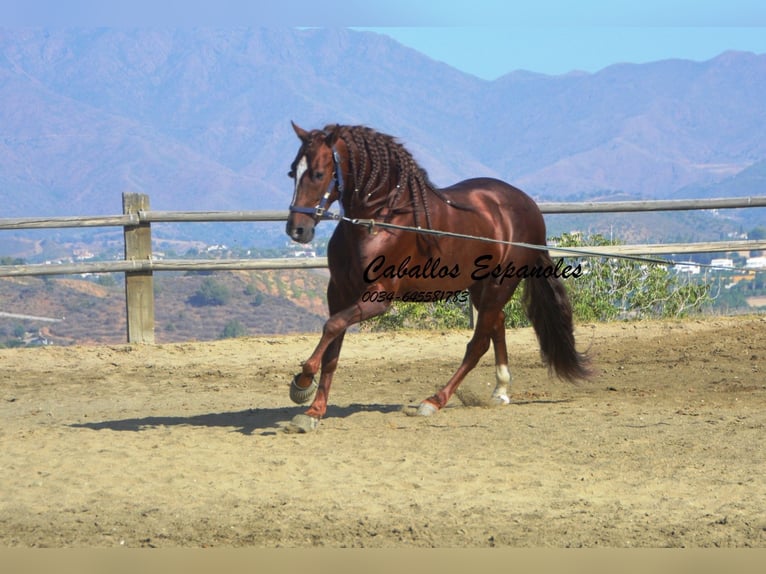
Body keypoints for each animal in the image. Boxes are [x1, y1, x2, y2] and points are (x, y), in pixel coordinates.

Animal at [284, 125, 592, 432]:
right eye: (292, 172)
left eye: (318, 174)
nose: (296, 230)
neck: (379, 222)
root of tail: (529, 206)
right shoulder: (338, 292)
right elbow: (333, 349)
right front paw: (313, 412)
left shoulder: (378, 298)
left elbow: (332, 326)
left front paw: (302, 381)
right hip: (481, 288)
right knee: (497, 324)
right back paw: (500, 391)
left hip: (500, 285)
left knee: (478, 344)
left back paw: (434, 401)